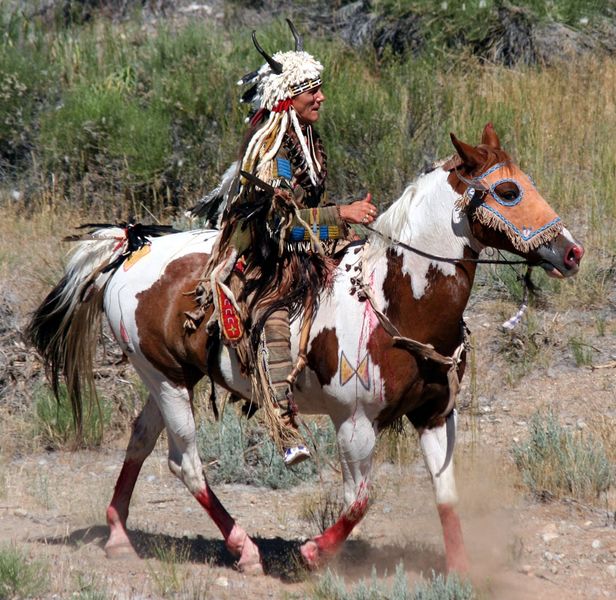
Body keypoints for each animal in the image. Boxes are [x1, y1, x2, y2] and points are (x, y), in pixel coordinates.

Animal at [27, 123, 584, 576]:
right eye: (508, 190)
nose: (572, 252)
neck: (398, 301)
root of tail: (132, 245)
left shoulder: (434, 416)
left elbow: (446, 496)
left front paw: (465, 572)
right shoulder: (355, 423)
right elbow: (361, 500)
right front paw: (313, 553)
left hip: (169, 377)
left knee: (140, 438)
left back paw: (120, 535)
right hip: (166, 379)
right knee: (185, 463)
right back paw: (245, 550)